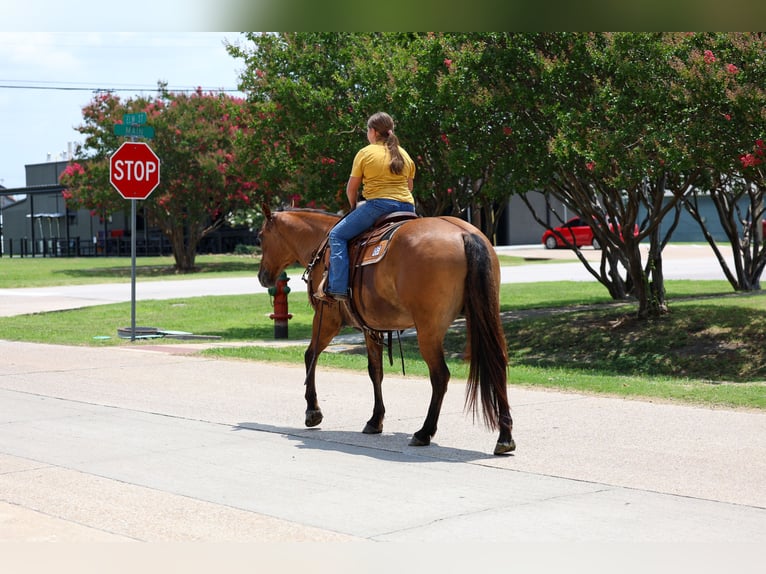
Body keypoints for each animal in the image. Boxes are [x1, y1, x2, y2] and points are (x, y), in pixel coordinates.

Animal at [257, 205, 515, 455]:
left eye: (260, 237)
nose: (262, 276)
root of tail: (465, 233)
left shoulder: (327, 317)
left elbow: (310, 356)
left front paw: (313, 411)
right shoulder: (372, 327)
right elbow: (376, 371)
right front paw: (375, 420)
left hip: (429, 330)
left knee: (440, 376)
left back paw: (424, 432)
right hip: (486, 313)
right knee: (497, 363)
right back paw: (505, 437)